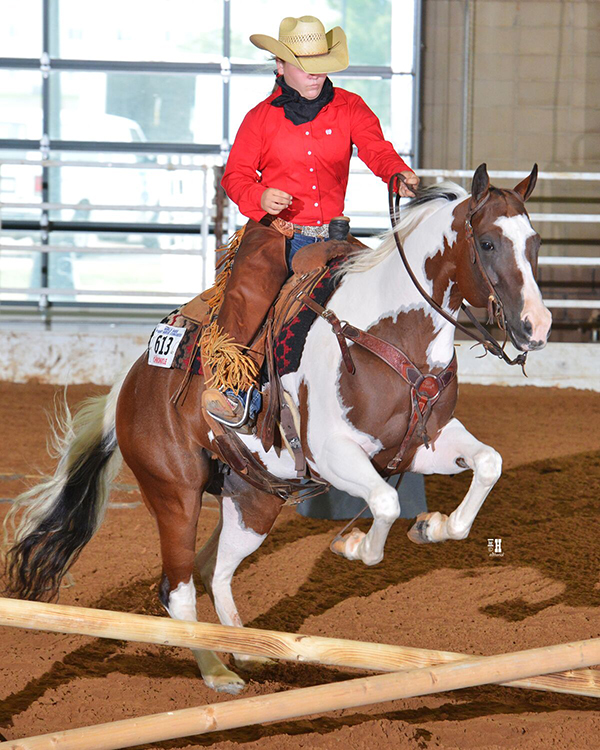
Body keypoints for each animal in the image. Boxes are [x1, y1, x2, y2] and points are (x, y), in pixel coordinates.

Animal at [4, 163, 552, 694]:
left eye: (535, 241)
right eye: (488, 243)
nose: (537, 326)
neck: (392, 331)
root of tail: (133, 382)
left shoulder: (420, 444)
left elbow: (488, 463)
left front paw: (433, 527)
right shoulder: (333, 453)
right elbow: (385, 502)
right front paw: (354, 545)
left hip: (253, 500)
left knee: (216, 571)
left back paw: (246, 650)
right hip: (175, 493)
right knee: (177, 589)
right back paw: (217, 672)